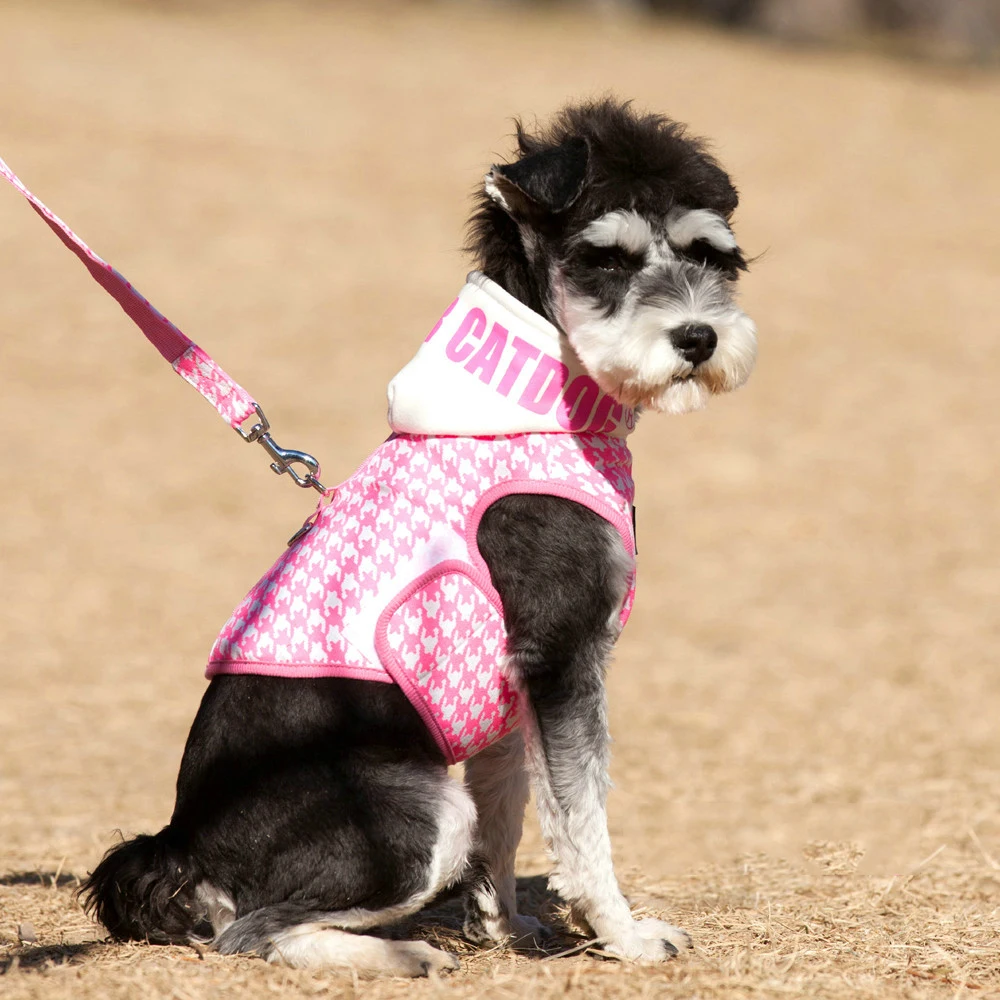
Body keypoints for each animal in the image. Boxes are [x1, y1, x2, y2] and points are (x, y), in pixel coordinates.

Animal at [84, 101, 756, 976]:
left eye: (710, 254)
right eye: (604, 260)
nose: (698, 338)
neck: (544, 407)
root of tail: (183, 845)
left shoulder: (513, 688)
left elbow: (511, 814)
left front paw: (504, 925)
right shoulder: (563, 658)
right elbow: (582, 818)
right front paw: (624, 933)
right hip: (417, 812)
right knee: (253, 930)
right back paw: (401, 954)